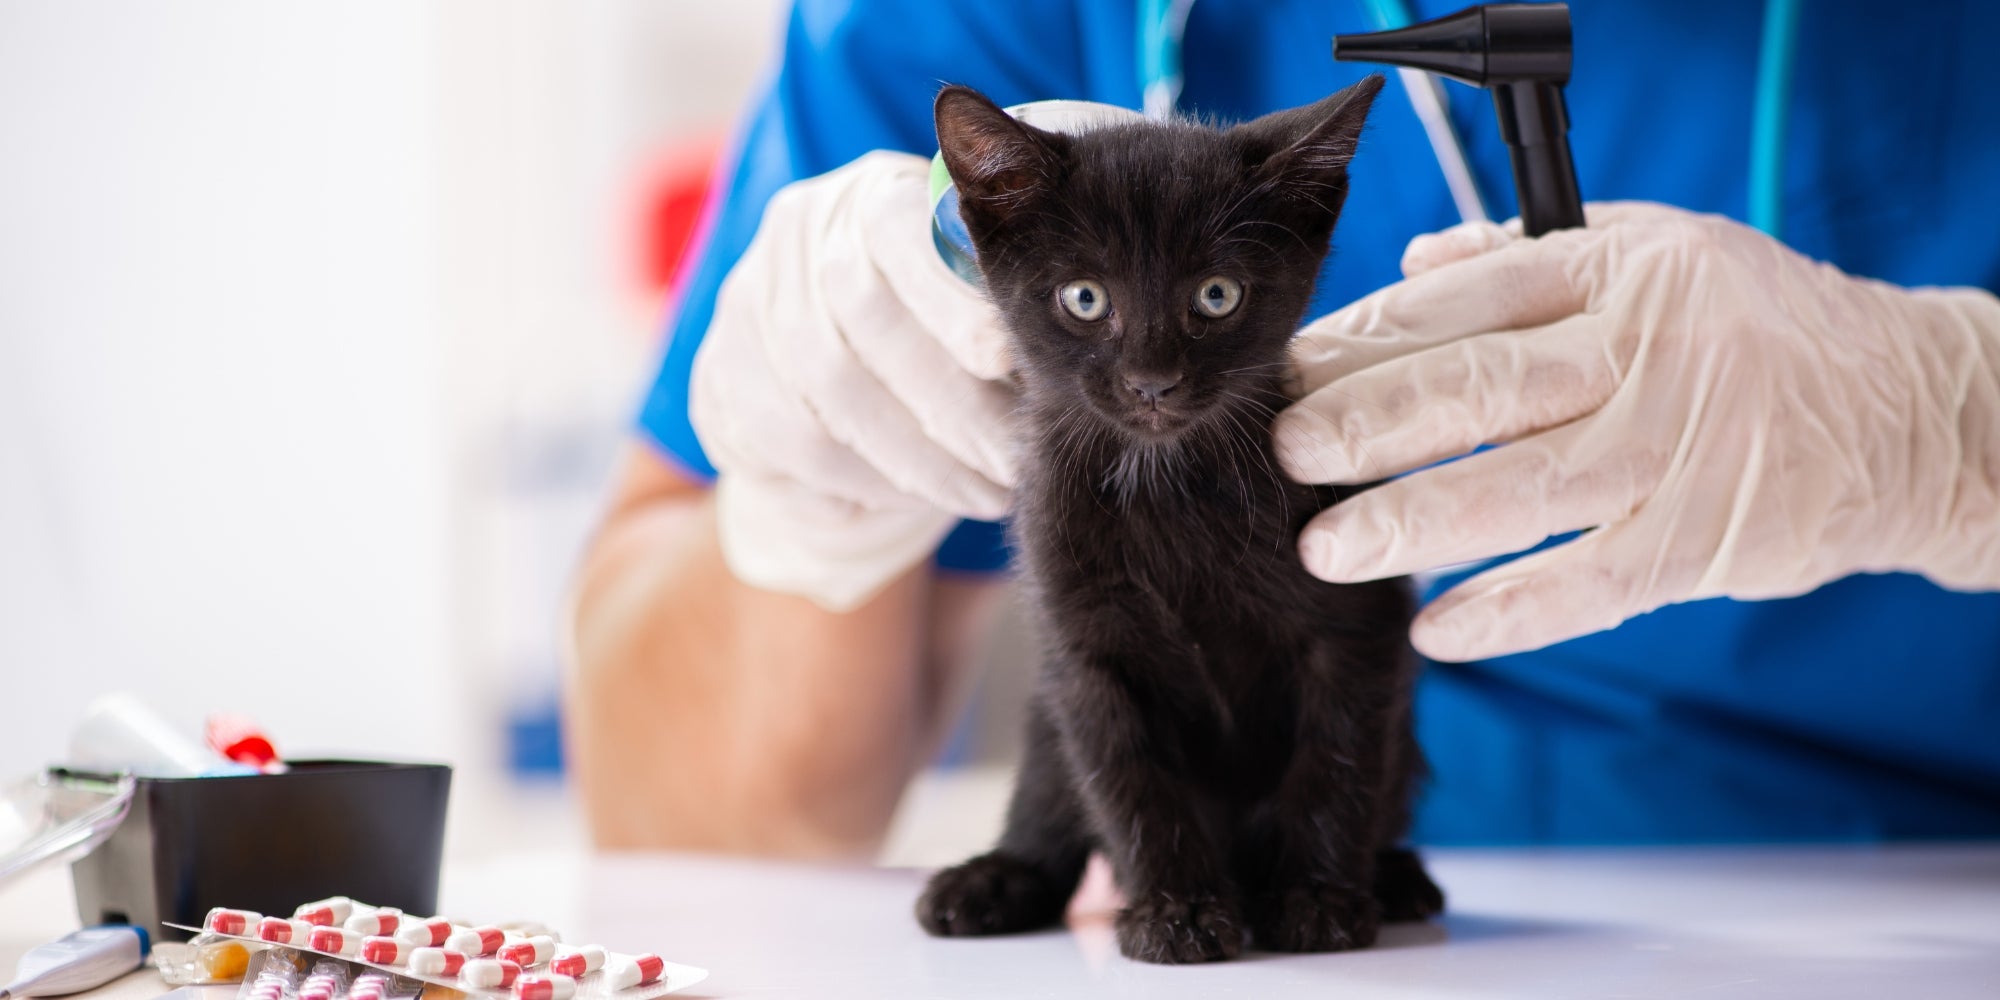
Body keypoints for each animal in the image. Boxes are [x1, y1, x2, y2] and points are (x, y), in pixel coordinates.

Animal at [916, 80, 1448, 968]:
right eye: (1086, 298)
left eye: (1217, 295)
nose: (1152, 382)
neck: (1166, 485)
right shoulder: (1083, 648)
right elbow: (1128, 779)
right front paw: (1178, 910)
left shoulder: (1356, 622)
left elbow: (1336, 759)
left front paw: (1317, 899)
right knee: (1049, 798)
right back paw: (993, 880)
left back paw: (1396, 876)